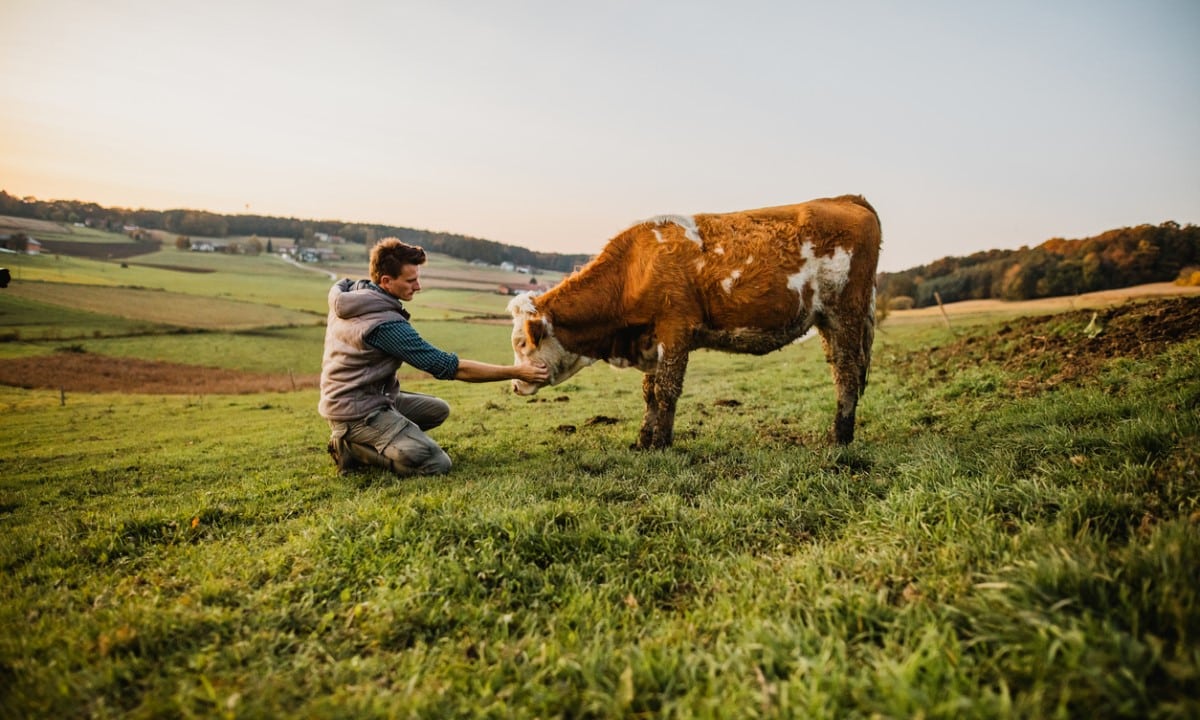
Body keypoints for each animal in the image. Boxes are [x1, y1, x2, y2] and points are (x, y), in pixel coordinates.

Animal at [506, 194, 883, 446]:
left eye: (522, 342)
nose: (515, 385)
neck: (633, 270)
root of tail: (846, 199)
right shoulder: (652, 339)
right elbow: (650, 392)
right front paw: (644, 440)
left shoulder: (675, 330)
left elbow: (667, 390)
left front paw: (661, 443)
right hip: (827, 322)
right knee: (840, 371)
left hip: (845, 314)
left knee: (848, 374)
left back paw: (840, 438)